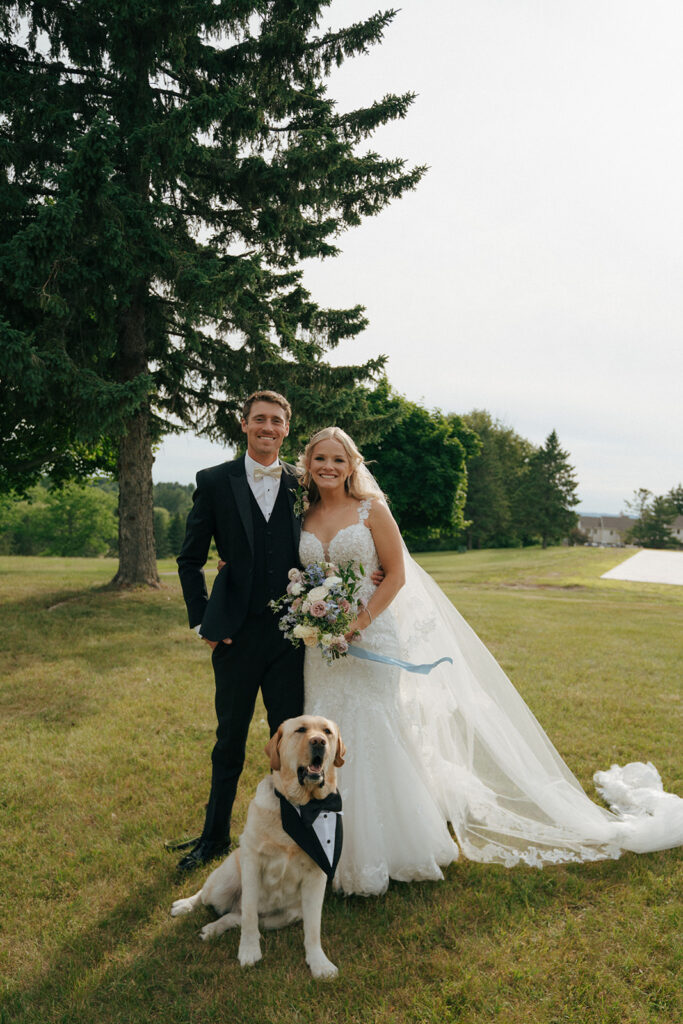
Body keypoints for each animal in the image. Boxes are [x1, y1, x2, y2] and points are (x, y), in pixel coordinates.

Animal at [168, 716, 344, 978]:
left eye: (327, 732)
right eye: (301, 730)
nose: (319, 742)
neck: (299, 807)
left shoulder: (317, 874)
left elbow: (313, 927)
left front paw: (319, 963)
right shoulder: (252, 862)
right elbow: (249, 913)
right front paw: (249, 950)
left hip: (285, 915)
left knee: (235, 916)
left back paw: (212, 928)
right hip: (226, 879)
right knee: (209, 897)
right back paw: (185, 906)